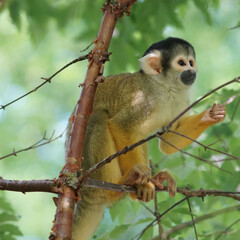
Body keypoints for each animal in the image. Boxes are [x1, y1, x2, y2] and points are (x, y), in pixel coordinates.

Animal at [68, 37, 227, 240]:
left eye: (191, 62)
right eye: (181, 63)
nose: (192, 71)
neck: (166, 88)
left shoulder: (181, 102)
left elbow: (169, 142)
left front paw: (211, 115)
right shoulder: (145, 100)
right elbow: (121, 126)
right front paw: (141, 180)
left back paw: (152, 181)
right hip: (86, 168)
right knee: (98, 117)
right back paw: (124, 183)